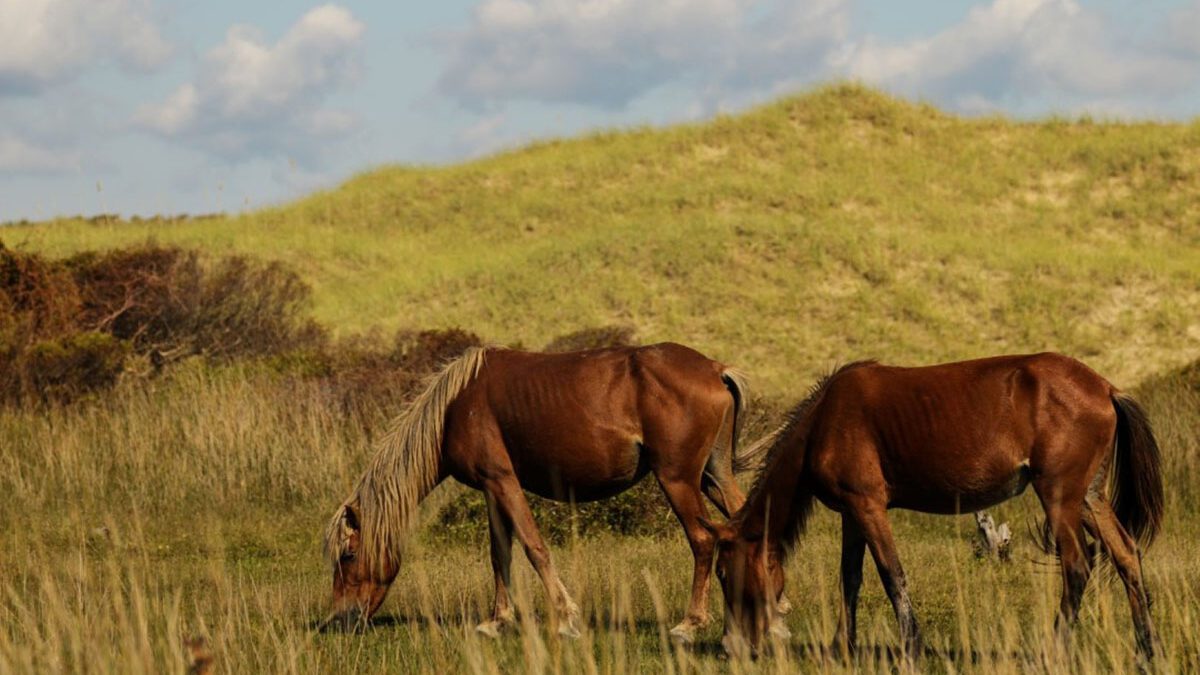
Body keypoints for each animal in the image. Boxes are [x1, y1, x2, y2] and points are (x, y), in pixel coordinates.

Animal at [700, 353, 1161, 658]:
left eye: (723, 572)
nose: (728, 647)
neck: (825, 421)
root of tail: (1106, 389)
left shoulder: (868, 506)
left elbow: (892, 575)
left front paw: (913, 647)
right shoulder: (852, 513)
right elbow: (850, 578)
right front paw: (840, 648)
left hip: (1060, 497)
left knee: (1078, 565)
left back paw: (1055, 648)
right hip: (1088, 499)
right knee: (1126, 556)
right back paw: (1147, 647)